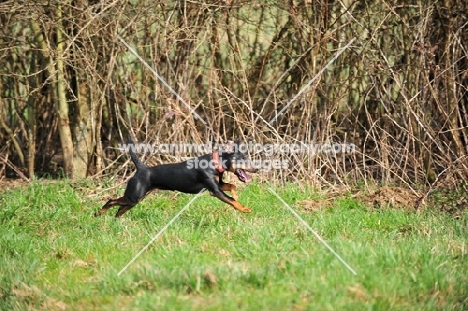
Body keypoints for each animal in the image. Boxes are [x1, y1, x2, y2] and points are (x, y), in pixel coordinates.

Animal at [93, 142, 258, 219]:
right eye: (243, 159)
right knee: (111, 201)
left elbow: (232, 186)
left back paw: (115, 221)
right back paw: (98, 214)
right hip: (134, 196)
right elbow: (232, 201)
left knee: (119, 209)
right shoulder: (215, 190)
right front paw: (245, 209)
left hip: (136, 198)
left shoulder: (218, 185)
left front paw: (237, 195)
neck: (214, 163)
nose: (256, 169)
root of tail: (142, 169)